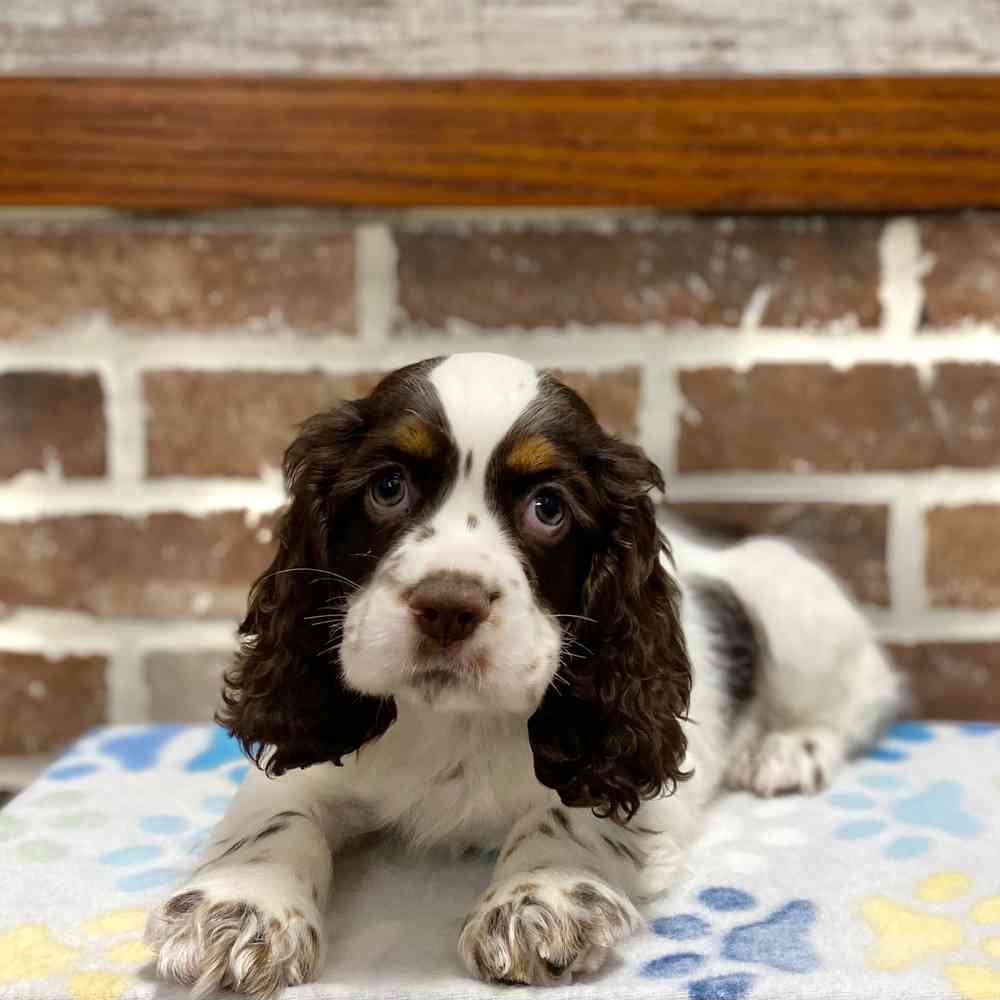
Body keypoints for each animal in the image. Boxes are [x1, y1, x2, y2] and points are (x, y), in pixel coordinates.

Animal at [145, 352, 904, 992]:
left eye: (548, 507)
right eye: (388, 487)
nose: (448, 605)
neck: (452, 719)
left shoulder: (622, 760)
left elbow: (565, 814)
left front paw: (538, 900)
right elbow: (277, 815)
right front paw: (242, 907)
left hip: (798, 616)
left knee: (860, 696)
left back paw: (788, 749)